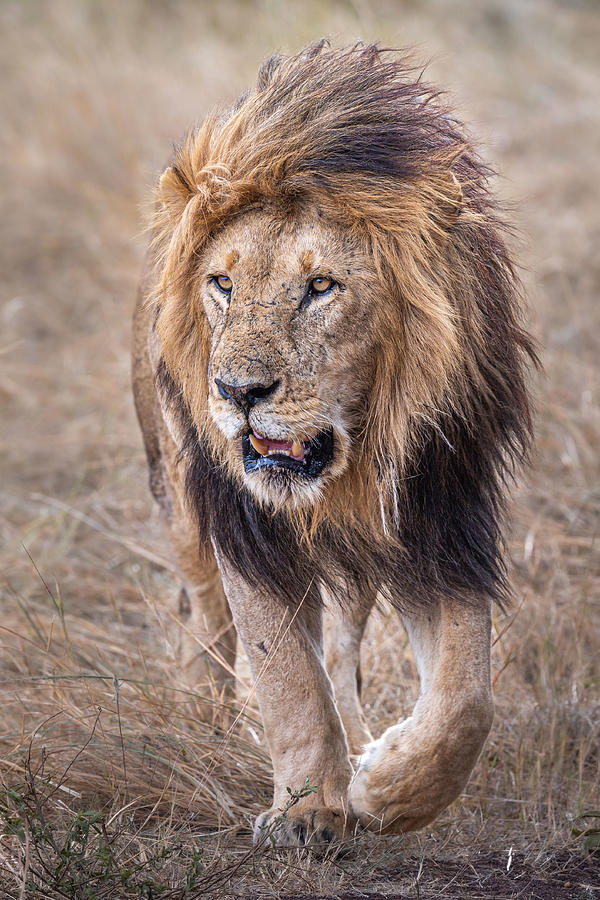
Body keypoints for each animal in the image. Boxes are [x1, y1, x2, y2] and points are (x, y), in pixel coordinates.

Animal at [131, 40, 536, 844]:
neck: (359, 450)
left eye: (321, 287)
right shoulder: (245, 523)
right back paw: (204, 718)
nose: (238, 392)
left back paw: (357, 750)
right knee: (206, 619)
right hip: (180, 504)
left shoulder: (437, 519)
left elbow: (466, 699)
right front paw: (308, 809)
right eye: (222, 284)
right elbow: (286, 672)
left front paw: (384, 785)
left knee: (342, 645)